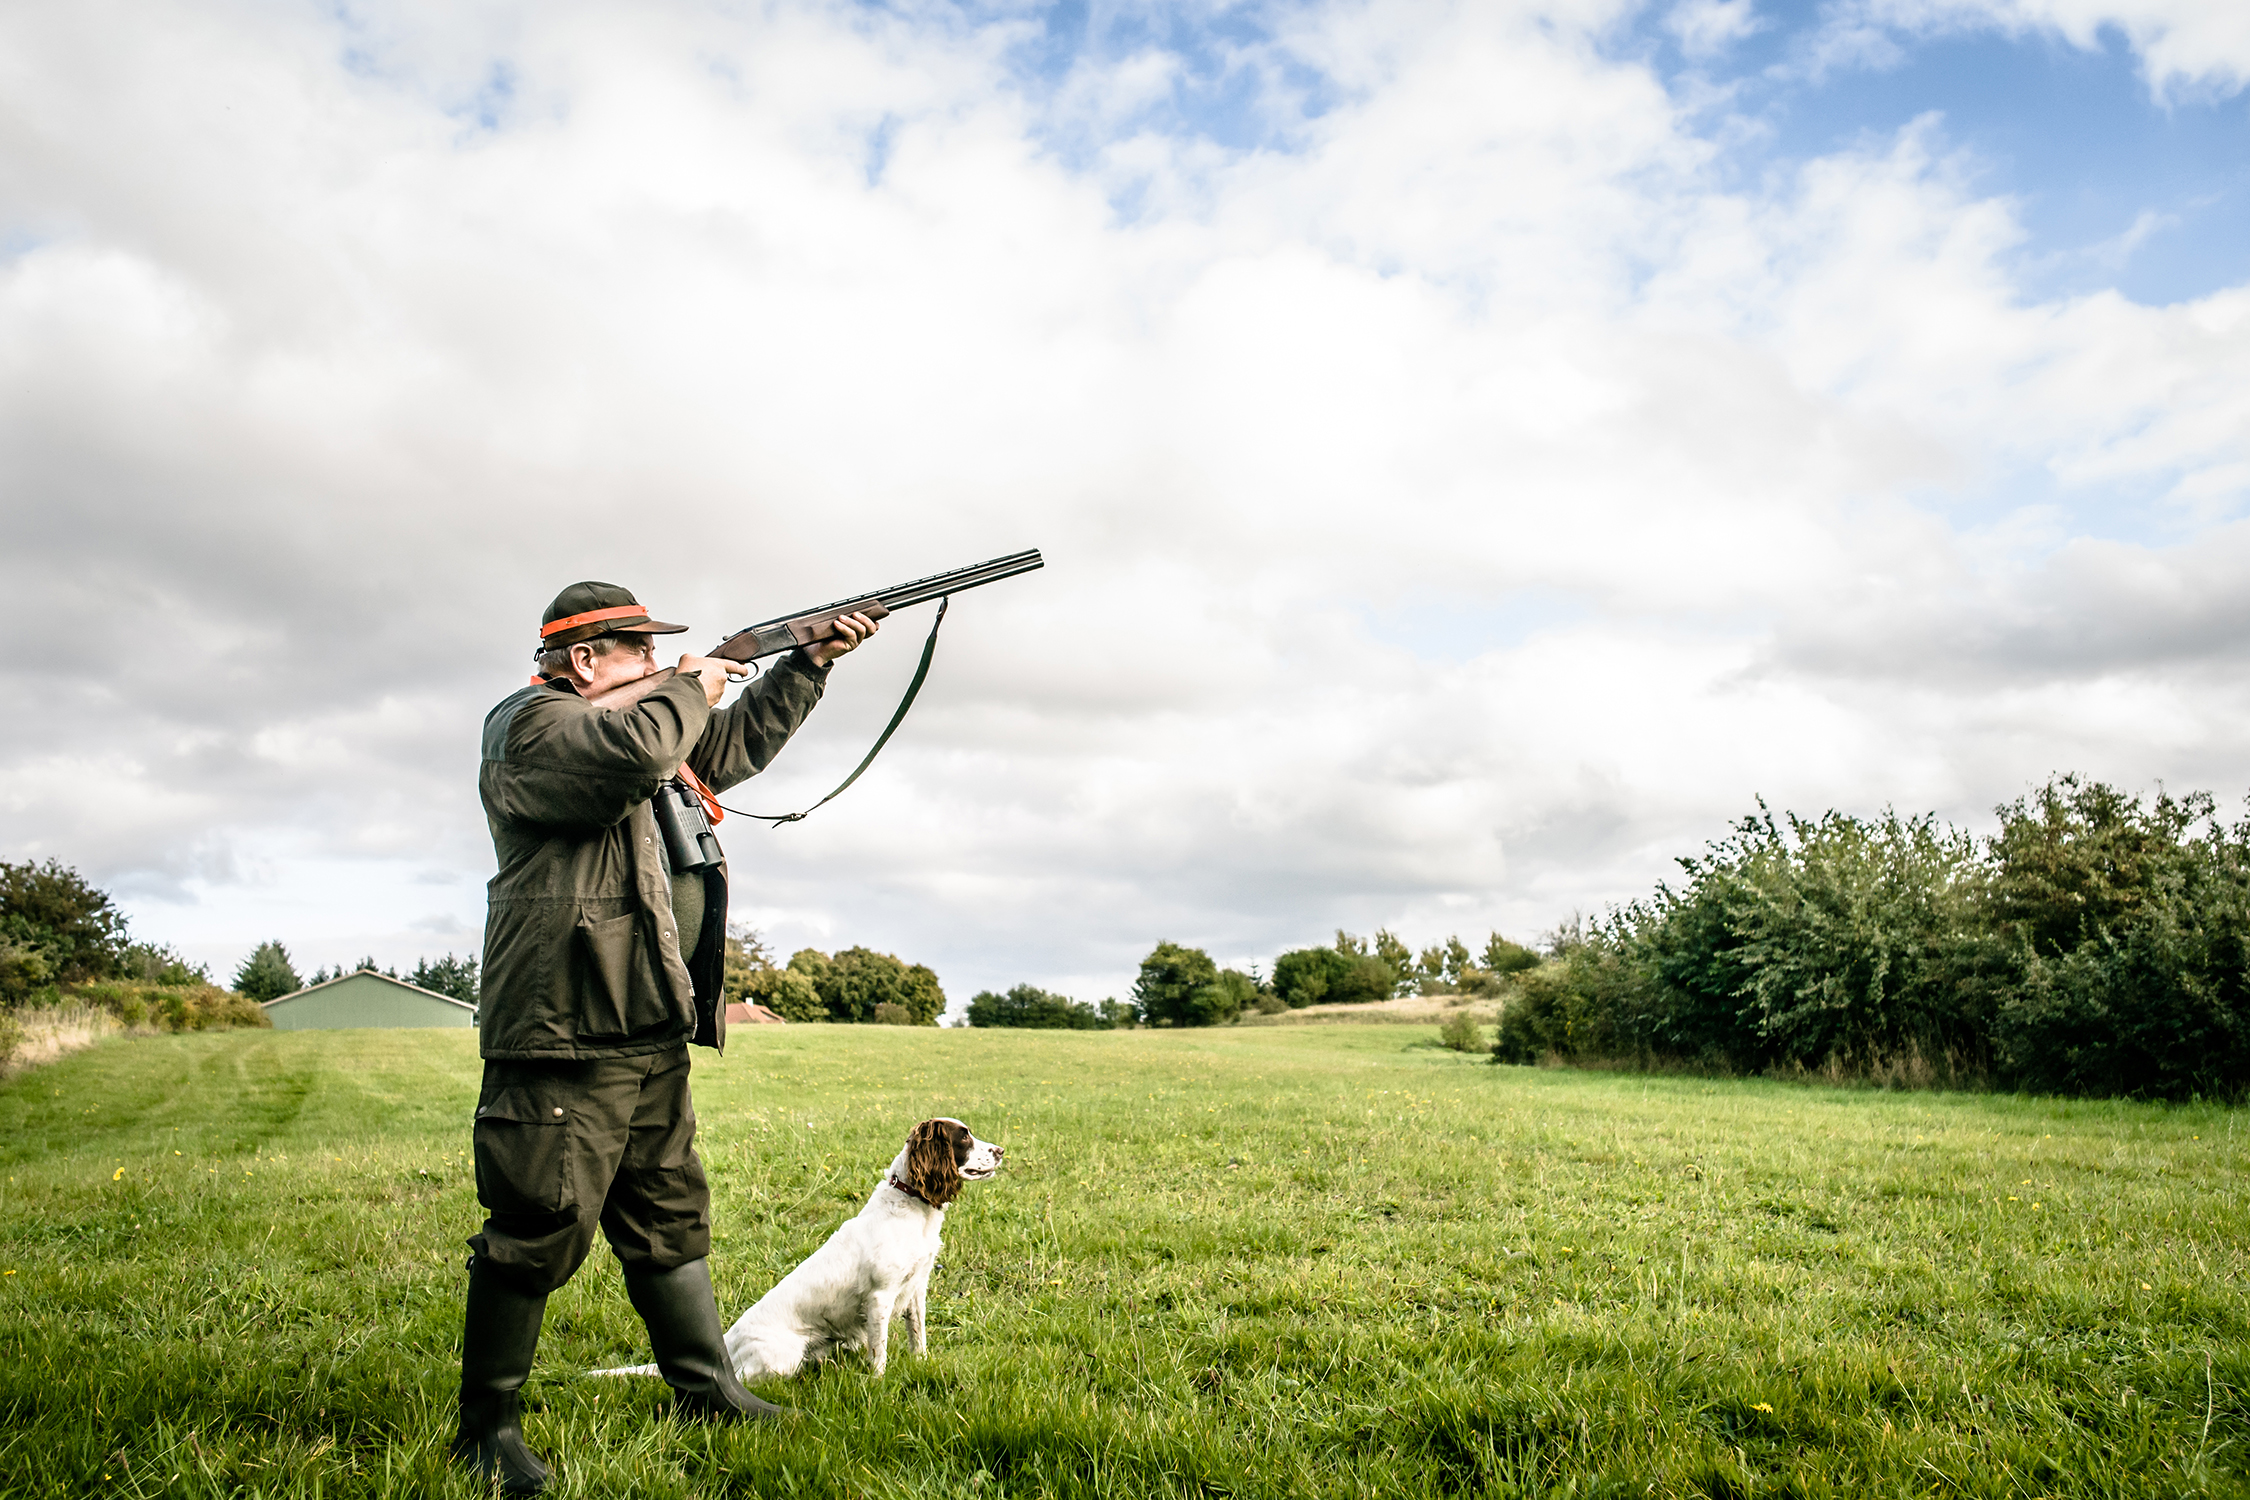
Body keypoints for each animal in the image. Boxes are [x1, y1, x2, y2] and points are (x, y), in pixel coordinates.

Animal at [594, 1115, 999, 1385]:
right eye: (964, 1137)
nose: (1001, 1150)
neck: (912, 1206)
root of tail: (728, 1342)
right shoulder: (880, 1297)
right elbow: (879, 1349)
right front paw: (879, 1382)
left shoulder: (915, 1289)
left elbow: (918, 1335)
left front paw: (921, 1363)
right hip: (781, 1360)